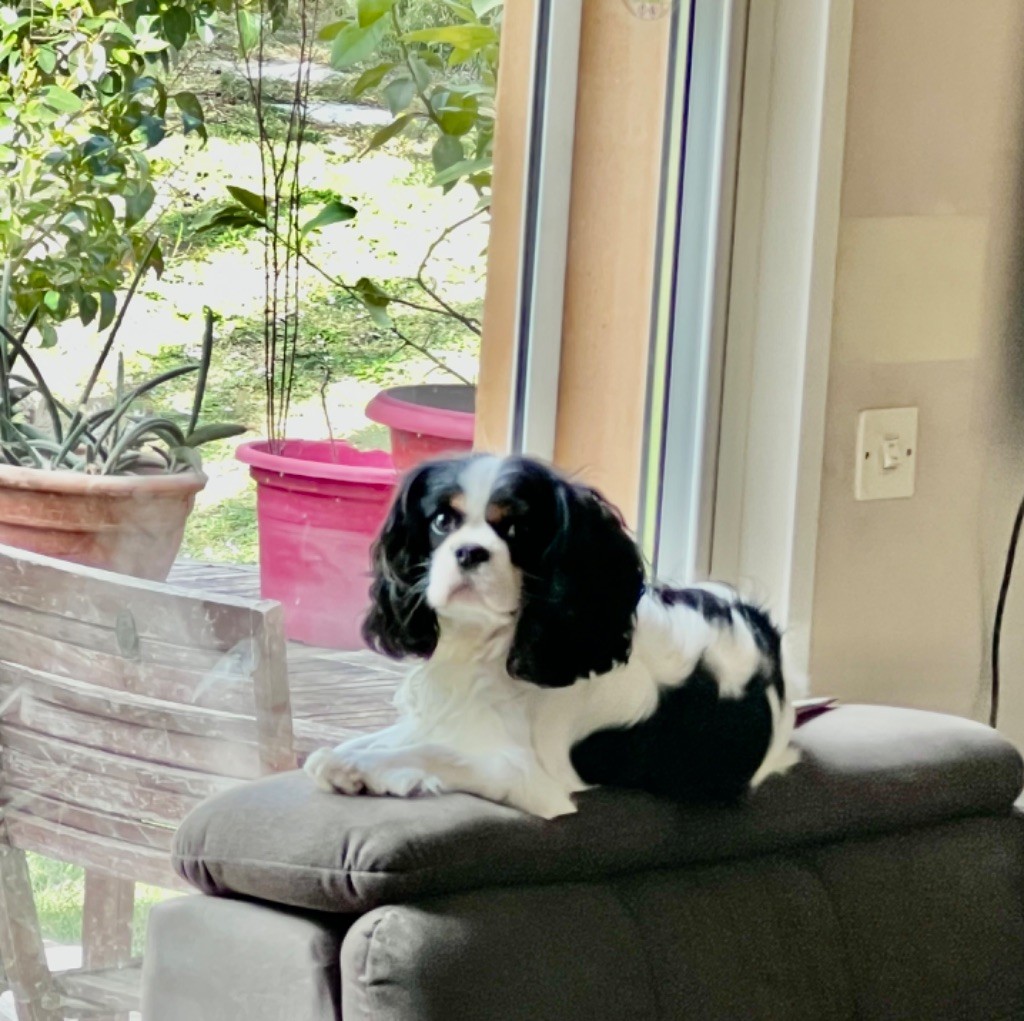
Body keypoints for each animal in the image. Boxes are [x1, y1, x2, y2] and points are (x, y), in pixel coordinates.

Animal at [303, 454, 798, 819]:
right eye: (443, 521)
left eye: (515, 528)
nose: (469, 551)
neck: (489, 646)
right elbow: (400, 735)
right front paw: (344, 755)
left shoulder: (527, 776)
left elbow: (437, 751)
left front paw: (359, 766)